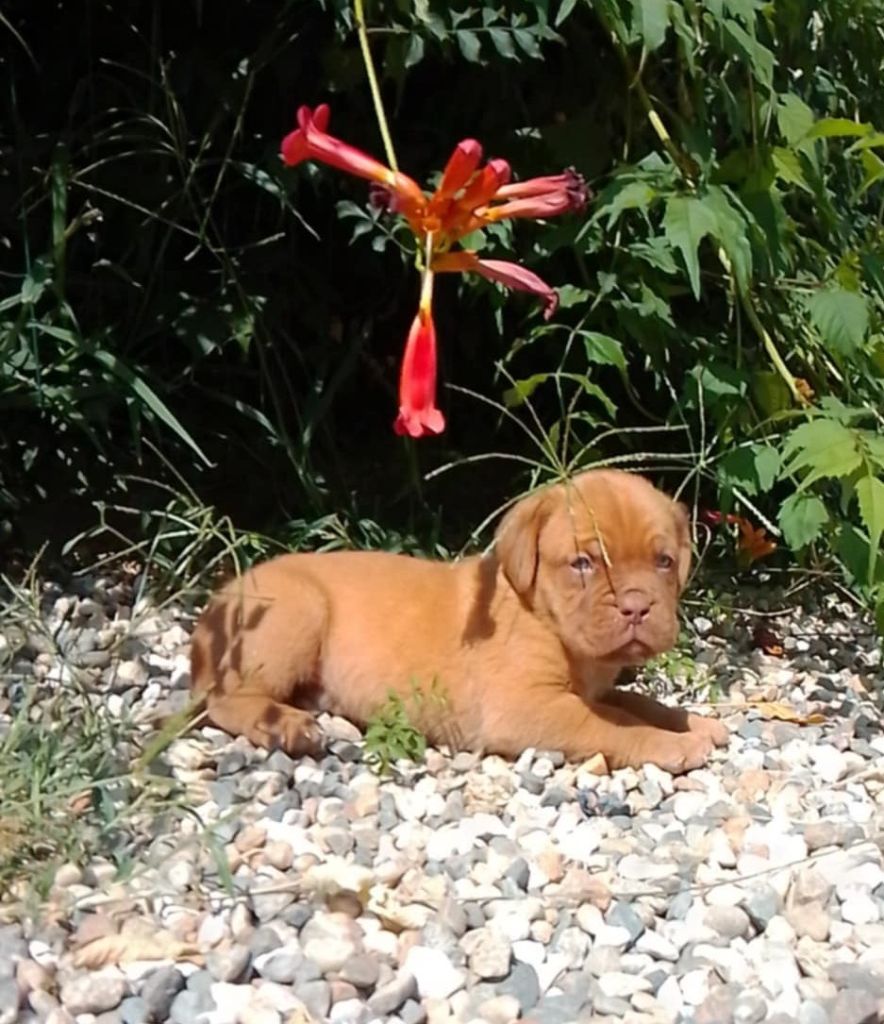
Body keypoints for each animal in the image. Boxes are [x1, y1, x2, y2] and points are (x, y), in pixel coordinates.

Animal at [190, 469, 728, 772]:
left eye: (663, 561)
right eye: (583, 564)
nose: (636, 606)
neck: (544, 617)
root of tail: (218, 598)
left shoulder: (592, 686)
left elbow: (637, 701)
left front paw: (693, 722)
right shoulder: (529, 706)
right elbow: (614, 722)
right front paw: (677, 743)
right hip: (297, 610)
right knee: (222, 699)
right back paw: (285, 726)